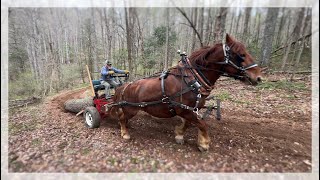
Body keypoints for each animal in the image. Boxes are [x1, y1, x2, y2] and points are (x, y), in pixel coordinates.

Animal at [109, 34, 262, 152]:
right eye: (241, 55)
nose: (258, 77)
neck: (192, 79)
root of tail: (125, 86)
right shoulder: (184, 110)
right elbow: (202, 124)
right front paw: (204, 144)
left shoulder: (190, 110)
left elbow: (191, 123)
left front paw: (179, 135)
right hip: (131, 108)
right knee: (122, 117)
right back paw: (124, 133)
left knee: (123, 117)